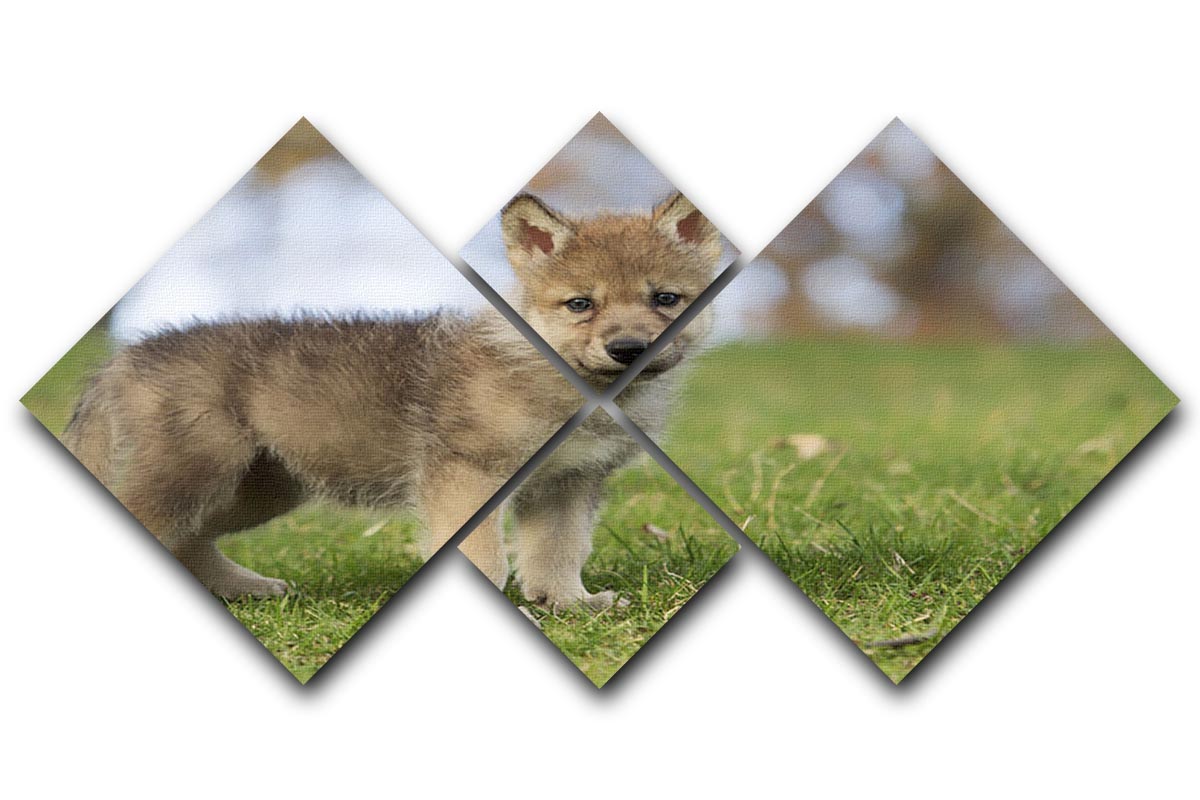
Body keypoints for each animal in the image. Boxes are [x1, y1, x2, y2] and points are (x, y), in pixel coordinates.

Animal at [62, 191, 723, 609]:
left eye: (666, 298)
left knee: (189, 540)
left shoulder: (568, 483)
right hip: (199, 471)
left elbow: (558, 553)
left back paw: (246, 589)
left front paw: (569, 605)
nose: (628, 348)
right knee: (162, 525)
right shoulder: (467, 474)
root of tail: (126, 357)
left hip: (261, 486)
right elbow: (486, 557)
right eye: (581, 303)